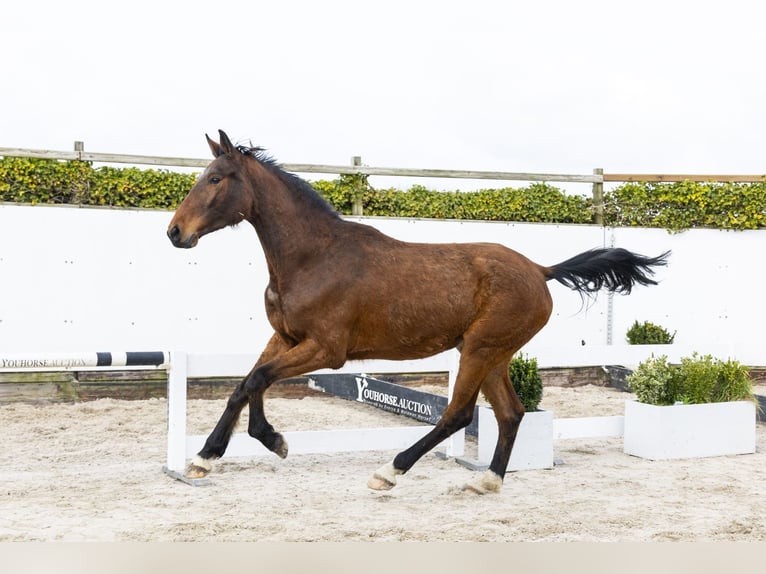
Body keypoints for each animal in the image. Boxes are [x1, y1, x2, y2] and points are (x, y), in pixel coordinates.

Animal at [167, 130, 670, 494]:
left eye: (215, 178)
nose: (175, 232)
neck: (314, 257)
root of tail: (540, 270)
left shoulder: (326, 350)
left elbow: (256, 379)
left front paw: (272, 441)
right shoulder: (286, 338)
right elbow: (245, 385)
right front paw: (206, 458)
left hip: (480, 349)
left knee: (459, 415)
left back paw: (390, 472)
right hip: (493, 353)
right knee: (510, 413)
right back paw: (487, 482)